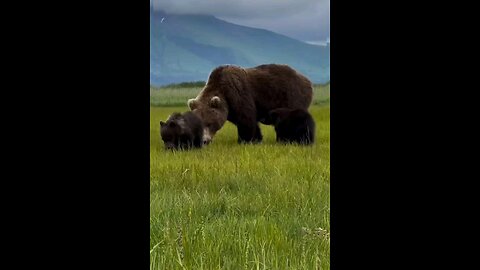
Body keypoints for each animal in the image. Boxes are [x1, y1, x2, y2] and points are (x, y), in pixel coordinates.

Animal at [186, 63, 314, 143]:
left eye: (209, 123)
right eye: (199, 124)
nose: (204, 141)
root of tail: (307, 80)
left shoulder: (239, 94)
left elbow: (246, 119)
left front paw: (245, 140)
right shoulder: (231, 109)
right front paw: (257, 139)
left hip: (292, 96)